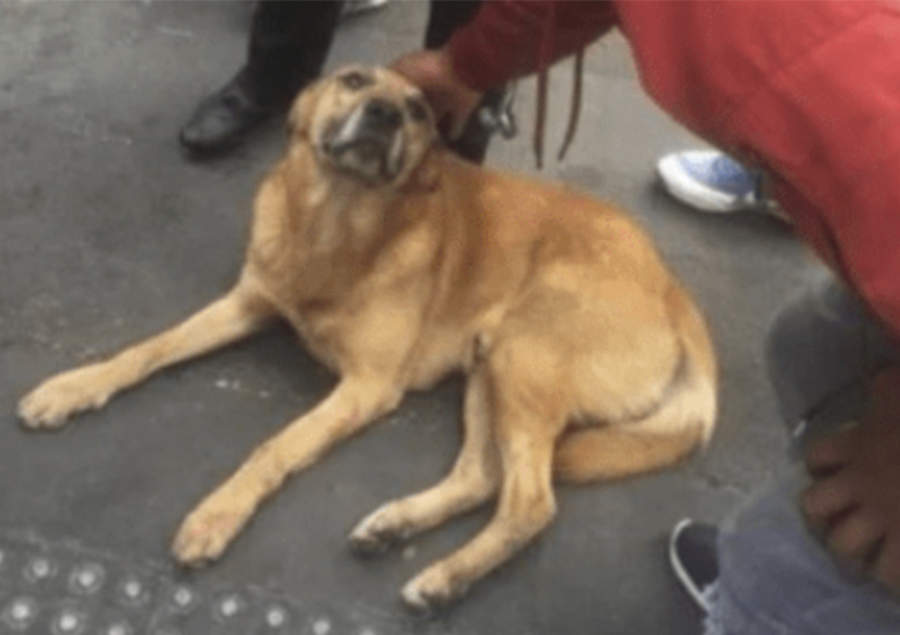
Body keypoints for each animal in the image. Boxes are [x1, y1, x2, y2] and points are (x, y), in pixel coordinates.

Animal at [18, 65, 717, 611]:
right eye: (354, 80)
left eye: (417, 110)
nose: (383, 112)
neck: (336, 220)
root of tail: (676, 292)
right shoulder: (247, 304)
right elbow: (148, 349)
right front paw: (72, 388)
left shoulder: (367, 386)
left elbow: (274, 446)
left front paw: (218, 514)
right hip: (489, 368)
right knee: (483, 477)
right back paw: (395, 526)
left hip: (525, 358)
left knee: (531, 503)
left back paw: (443, 580)